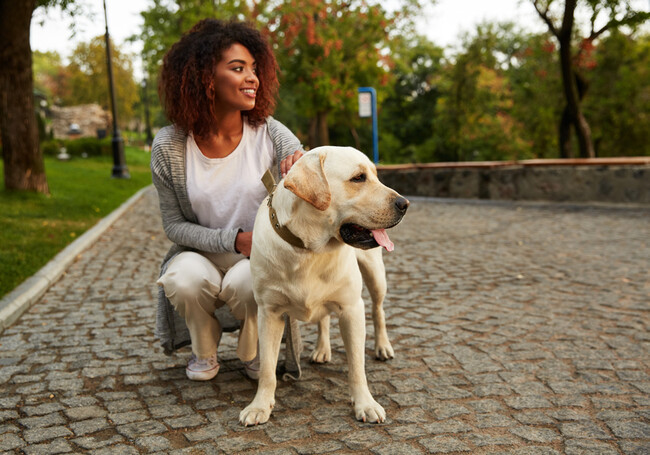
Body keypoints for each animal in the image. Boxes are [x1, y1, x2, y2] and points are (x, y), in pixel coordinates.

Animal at [240, 147, 408, 428]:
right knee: (324, 317)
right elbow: (267, 369)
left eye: (376, 174)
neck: (309, 250)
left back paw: (383, 346)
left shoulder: (352, 309)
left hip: (375, 276)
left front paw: (365, 404)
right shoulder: (269, 313)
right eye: (358, 178)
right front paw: (260, 405)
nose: (405, 204)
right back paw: (322, 348)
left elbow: (357, 366)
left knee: (378, 309)